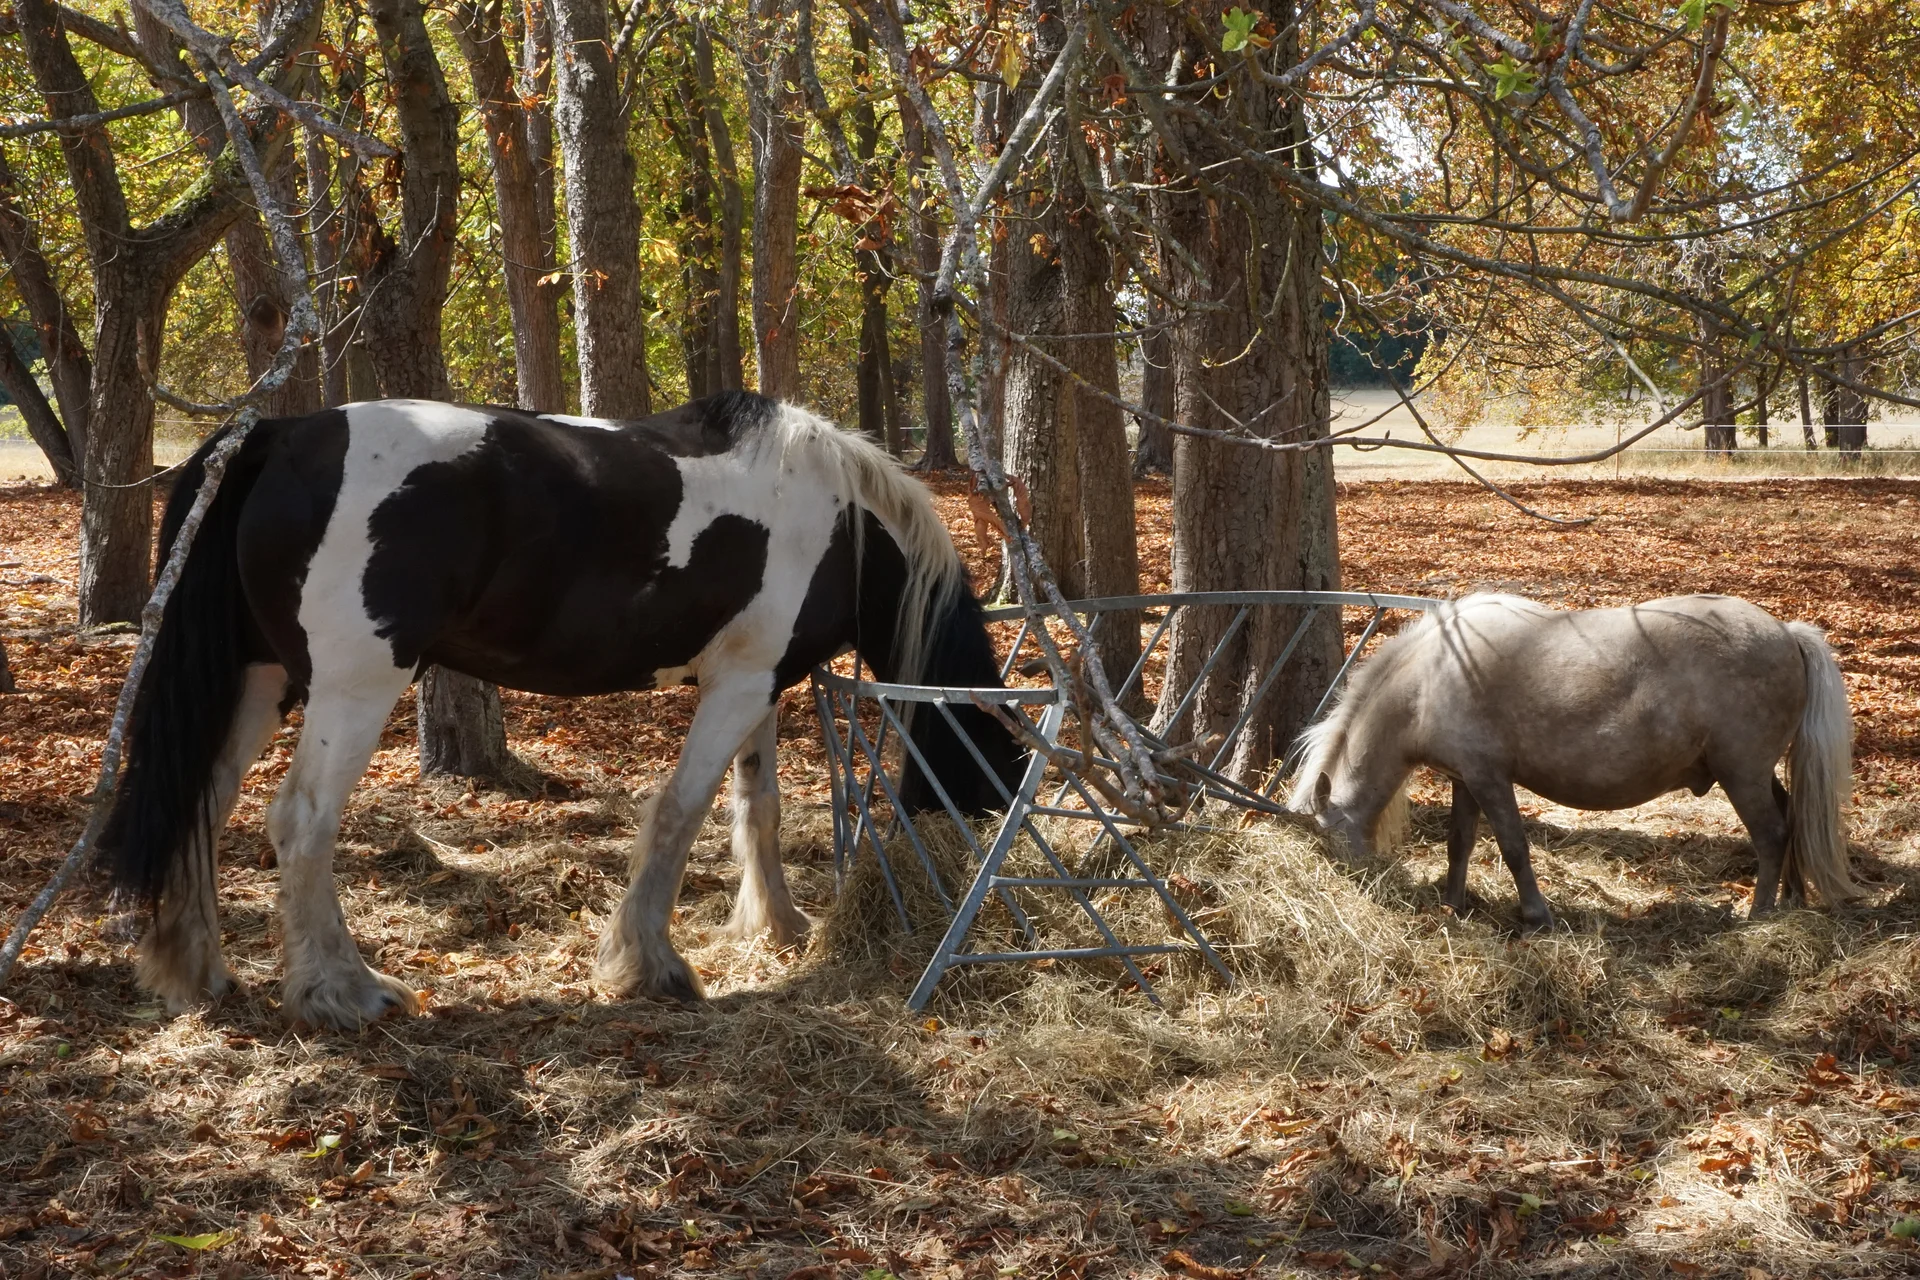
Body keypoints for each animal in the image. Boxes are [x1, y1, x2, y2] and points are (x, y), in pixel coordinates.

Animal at [103, 392, 1027, 1029]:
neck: (839, 517)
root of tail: (281, 434)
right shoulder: (736, 687)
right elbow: (682, 811)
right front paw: (650, 965)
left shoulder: (758, 680)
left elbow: (755, 803)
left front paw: (779, 924)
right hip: (352, 688)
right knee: (300, 822)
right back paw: (344, 990)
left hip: (258, 679)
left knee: (202, 801)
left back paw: (199, 970)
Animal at [1288, 593, 1857, 928]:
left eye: (1330, 841)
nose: (1359, 888)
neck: (1431, 676)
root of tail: (1786, 632)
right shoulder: (1466, 780)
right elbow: (1459, 845)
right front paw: (1453, 903)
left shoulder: (1490, 779)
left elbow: (1514, 848)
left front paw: (1535, 915)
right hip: (1756, 774)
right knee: (1790, 818)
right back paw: (1792, 900)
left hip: (1741, 775)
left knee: (1771, 834)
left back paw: (1759, 914)